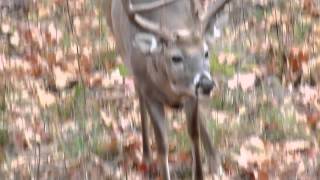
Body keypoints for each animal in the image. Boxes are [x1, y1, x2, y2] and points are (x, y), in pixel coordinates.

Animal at [104, 0, 231, 179]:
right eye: (176, 58)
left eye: (206, 52)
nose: (207, 84)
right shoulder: (149, 92)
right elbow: (162, 143)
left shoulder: (191, 95)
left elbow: (194, 132)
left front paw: (207, 169)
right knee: (139, 97)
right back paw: (146, 157)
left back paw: (215, 163)